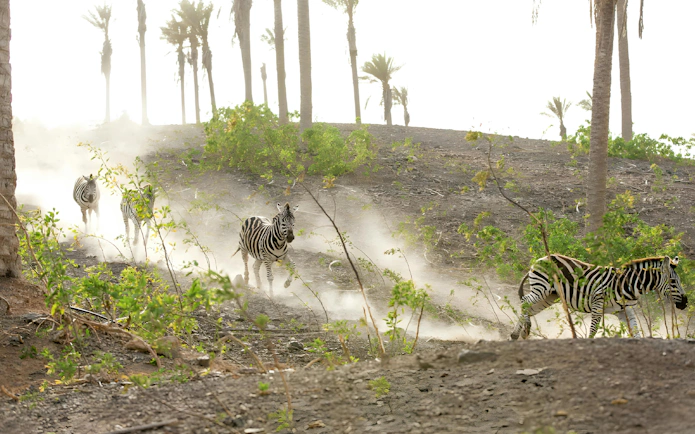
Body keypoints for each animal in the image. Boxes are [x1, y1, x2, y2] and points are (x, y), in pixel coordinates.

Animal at [511, 254, 688, 340]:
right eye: (673, 281)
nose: (685, 303)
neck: (628, 284)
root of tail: (540, 259)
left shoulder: (624, 310)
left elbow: (636, 330)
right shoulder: (598, 302)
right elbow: (594, 329)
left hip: (550, 296)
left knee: (530, 309)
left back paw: (520, 333)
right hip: (542, 288)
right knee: (525, 302)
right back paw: (521, 331)